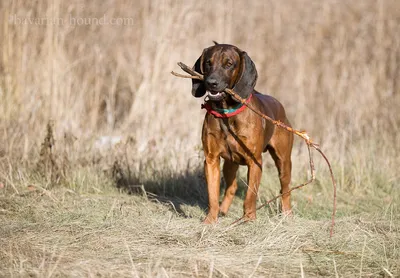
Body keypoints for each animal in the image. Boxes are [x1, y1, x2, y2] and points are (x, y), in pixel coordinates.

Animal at [191, 43, 294, 224]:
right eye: (208, 63)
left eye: (229, 64)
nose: (211, 83)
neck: (227, 113)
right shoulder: (211, 160)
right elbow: (212, 195)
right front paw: (210, 220)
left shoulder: (255, 162)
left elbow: (250, 196)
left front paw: (249, 219)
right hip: (230, 163)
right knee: (232, 186)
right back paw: (223, 210)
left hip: (284, 160)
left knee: (285, 188)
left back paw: (287, 214)